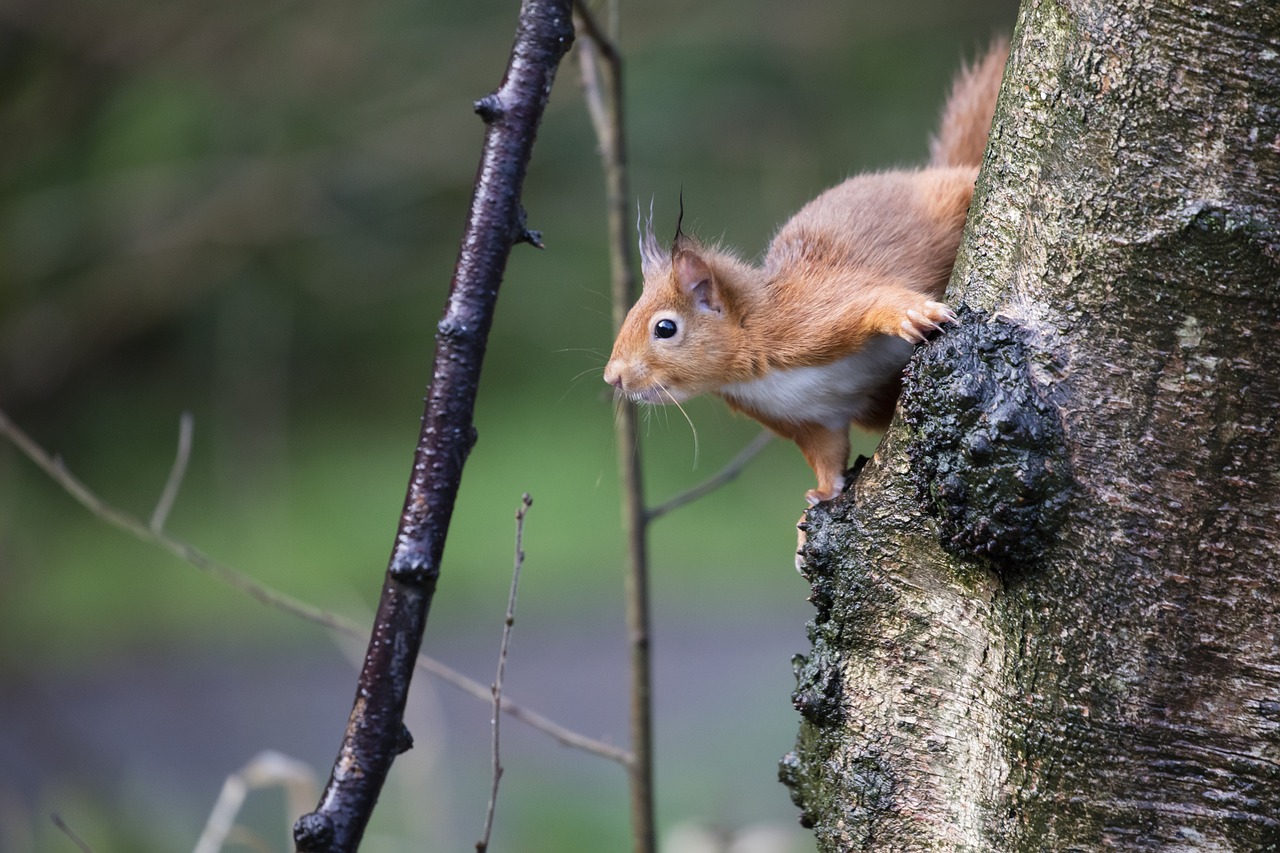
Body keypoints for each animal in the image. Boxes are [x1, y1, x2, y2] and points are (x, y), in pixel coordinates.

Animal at [604, 41, 1003, 512]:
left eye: (664, 328)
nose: (613, 378)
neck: (756, 376)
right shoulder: (810, 420)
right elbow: (826, 455)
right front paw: (818, 501)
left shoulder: (814, 315)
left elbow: (872, 299)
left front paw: (910, 315)